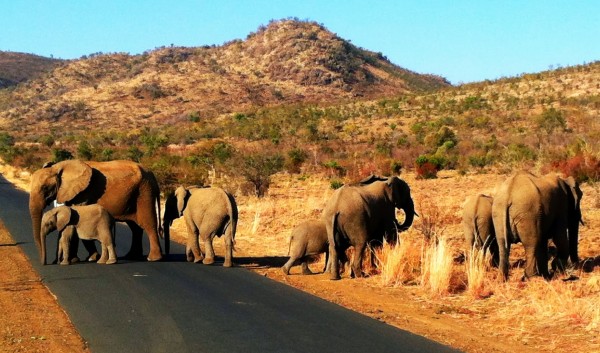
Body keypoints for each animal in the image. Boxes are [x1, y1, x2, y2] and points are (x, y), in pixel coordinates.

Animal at [28, 158, 164, 262]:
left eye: (45, 188)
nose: (47, 262)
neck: (58, 166)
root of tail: (152, 175)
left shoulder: (84, 193)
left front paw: (89, 259)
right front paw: (82, 259)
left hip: (144, 193)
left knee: (148, 224)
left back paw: (153, 258)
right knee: (135, 227)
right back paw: (132, 256)